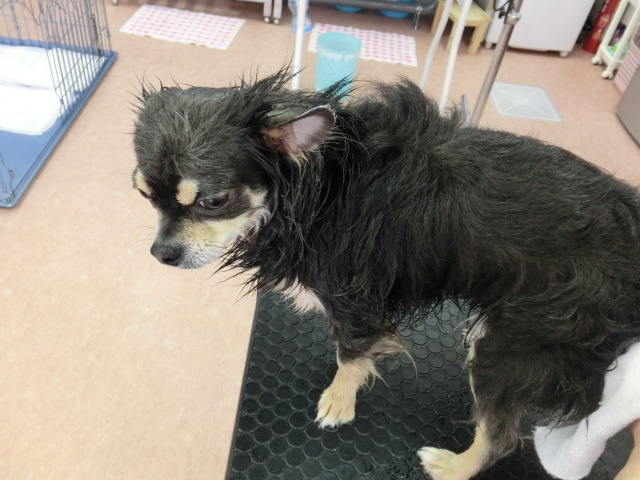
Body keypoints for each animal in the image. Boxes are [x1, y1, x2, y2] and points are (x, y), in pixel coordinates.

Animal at [131, 70, 640, 479]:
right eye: (143, 195)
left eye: (213, 201)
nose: (160, 253)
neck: (319, 187)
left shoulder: (357, 301)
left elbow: (351, 356)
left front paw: (340, 400)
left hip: (512, 343)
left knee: (501, 438)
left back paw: (452, 467)